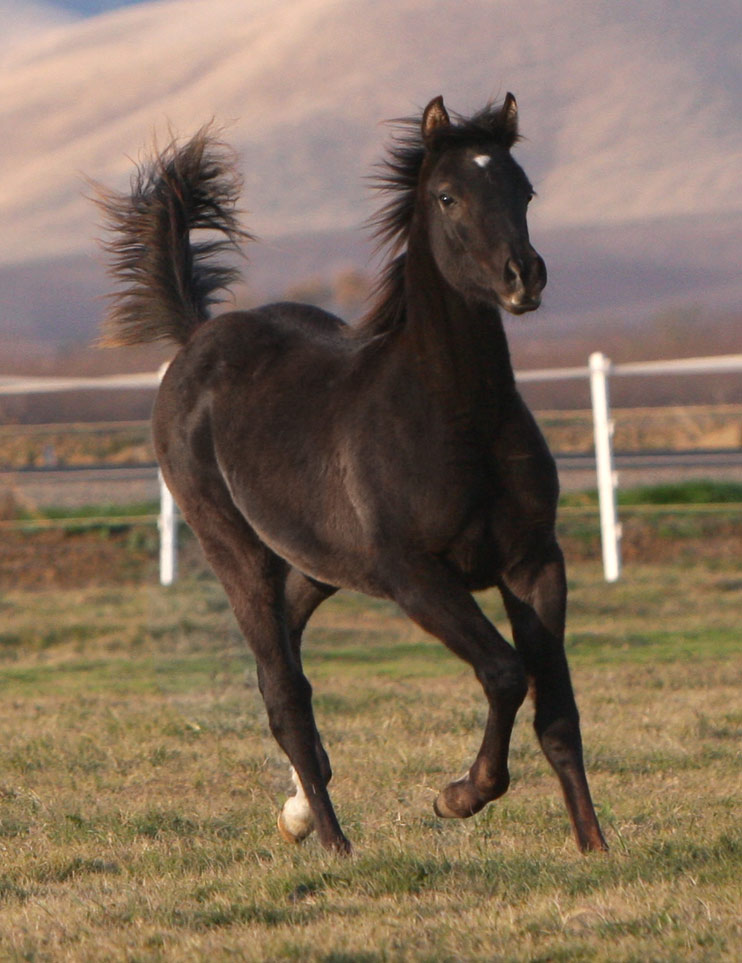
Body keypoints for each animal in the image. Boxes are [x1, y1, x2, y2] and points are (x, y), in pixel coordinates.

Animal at [97, 94, 612, 856]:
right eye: (448, 195)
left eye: (524, 190)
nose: (524, 276)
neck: (457, 415)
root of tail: (196, 337)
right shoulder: (414, 576)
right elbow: (504, 672)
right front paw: (459, 795)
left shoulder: (534, 563)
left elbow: (558, 710)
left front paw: (594, 845)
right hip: (237, 551)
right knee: (284, 689)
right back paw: (334, 841)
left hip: (320, 563)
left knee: (287, 656)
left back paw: (299, 809)